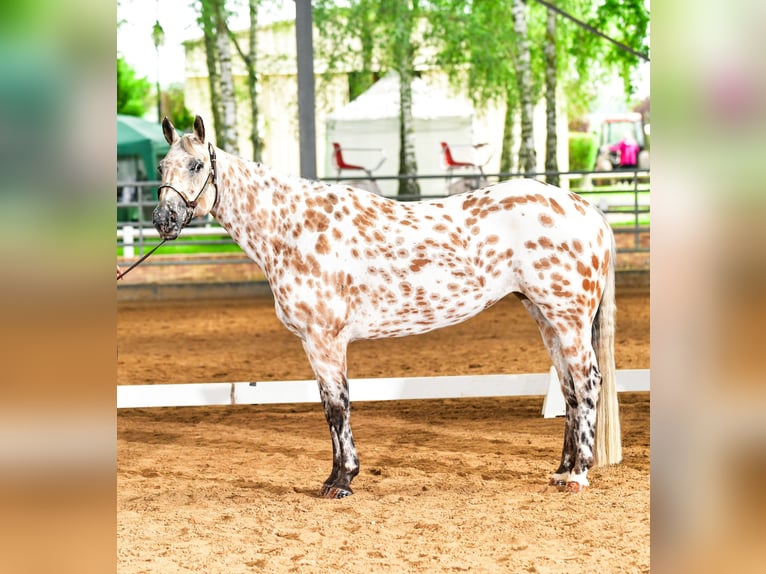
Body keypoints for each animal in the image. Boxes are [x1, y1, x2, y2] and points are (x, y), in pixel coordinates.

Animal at [154, 117, 624, 500]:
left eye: (196, 166)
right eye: (161, 167)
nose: (163, 220)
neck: (294, 230)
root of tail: (587, 209)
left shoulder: (324, 339)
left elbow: (337, 405)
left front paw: (342, 481)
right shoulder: (317, 343)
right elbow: (329, 405)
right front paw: (335, 476)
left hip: (568, 319)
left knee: (588, 383)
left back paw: (579, 475)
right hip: (545, 317)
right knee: (569, 389)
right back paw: (561, 471)